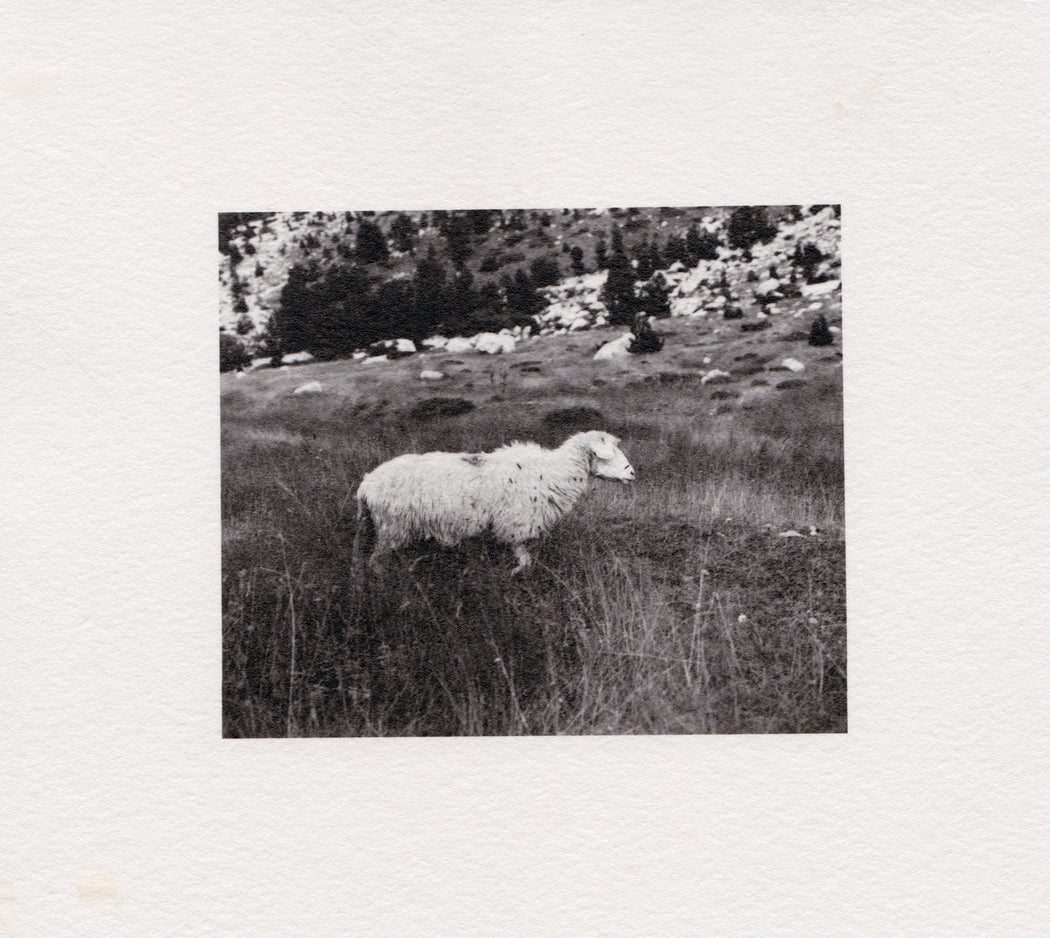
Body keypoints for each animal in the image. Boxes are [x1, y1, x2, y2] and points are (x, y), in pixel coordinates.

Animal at [354, 430, 635, 576]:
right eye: (609, 455)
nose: (632, 474)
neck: (553, 470)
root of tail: (366, 484)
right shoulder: (516, 523)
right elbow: (523, 556)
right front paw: (515, 573)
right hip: (393, 526)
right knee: (375, 560)